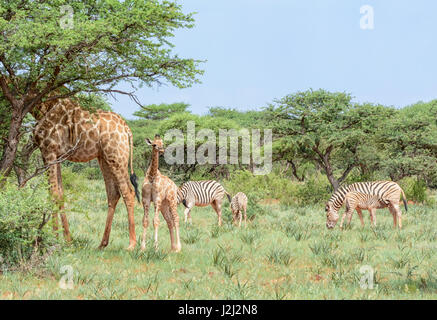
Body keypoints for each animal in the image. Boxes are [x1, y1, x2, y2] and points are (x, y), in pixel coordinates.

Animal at [31, 97, 140, 250]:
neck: (43, 106)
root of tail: (127, 129)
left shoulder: (49, 151)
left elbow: (53, 194)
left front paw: (54, 239)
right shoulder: (57, 155)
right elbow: (60, 193)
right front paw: (68, 240)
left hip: (116, 157)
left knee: (128, 192)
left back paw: (131, 244)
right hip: (104, 158)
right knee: (113, 193)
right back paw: (102, 244)